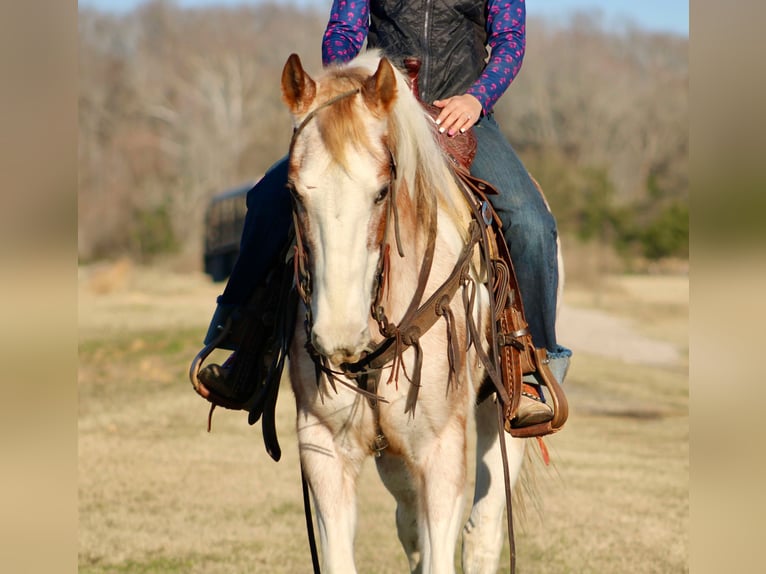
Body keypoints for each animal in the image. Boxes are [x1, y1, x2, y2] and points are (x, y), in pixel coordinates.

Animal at [284, 51, 532, 572]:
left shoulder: (441, 453)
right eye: (294, 192)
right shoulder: (324, 448)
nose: (338, 336)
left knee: (482, 532)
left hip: (504, 419)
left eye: (382, 191)